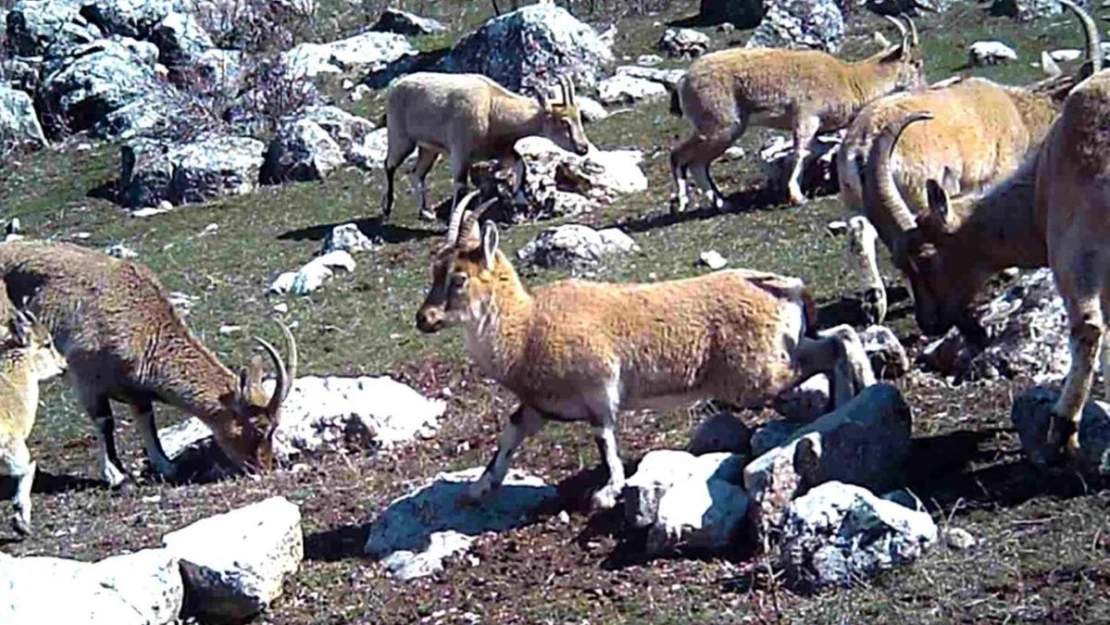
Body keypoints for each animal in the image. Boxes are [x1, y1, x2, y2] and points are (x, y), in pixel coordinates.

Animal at [379, 71, 590, 225]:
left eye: (578, 116)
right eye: (563, 121)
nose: (583, 148)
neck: (492, 109)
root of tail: (395, 86)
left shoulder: (502, 151)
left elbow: (521, 164)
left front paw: (520, 200)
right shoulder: (460, 151)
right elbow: (461, 185)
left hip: (430, 149)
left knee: (417, 174)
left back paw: (425, 212)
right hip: (401, 138)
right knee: (389, 165)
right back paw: (387, 207)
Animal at [666, 14, 927, 209]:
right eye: (916, 63)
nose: (923, 90)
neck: (849, 80)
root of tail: (684, 80)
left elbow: (812, 150)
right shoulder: (806, 117)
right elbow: (800, 152)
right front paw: (796, 196)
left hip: (722, 131)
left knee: (698, 164)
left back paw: (722, 203)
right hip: (719, 127)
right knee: (679, 155)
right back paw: (682, 202)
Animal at [834, 0, 1096, 321]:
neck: (1018, 112)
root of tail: (862, 144)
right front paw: (1007, 269)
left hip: (856, 200)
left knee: (861, 233)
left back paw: (874, 301)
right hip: (915, 191)